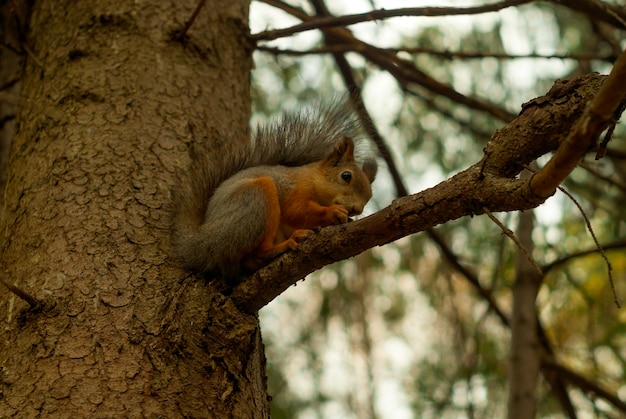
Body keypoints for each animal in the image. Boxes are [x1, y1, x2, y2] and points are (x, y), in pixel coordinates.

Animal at [169, 100, 376, 280]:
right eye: (346, 176)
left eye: (369, 196)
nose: (357, 209)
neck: (312, 179)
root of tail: (200, 242)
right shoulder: (293, 188)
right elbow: (296, 211)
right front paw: (332, 212)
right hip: (255, 200)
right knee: (258, 253)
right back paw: (285, 244)